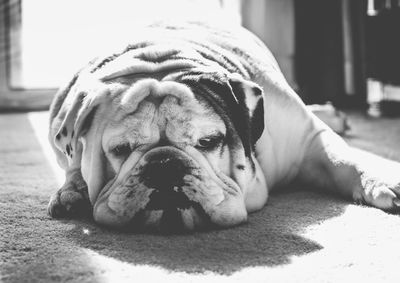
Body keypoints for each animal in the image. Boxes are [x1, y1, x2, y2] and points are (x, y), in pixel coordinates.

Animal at [47, 22, 400, 234]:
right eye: (120, 150)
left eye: (208, 141)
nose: (165, 165)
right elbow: (75, 166)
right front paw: (73, 190)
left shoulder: (308, 138)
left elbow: (346, 161)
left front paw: (385, 182)